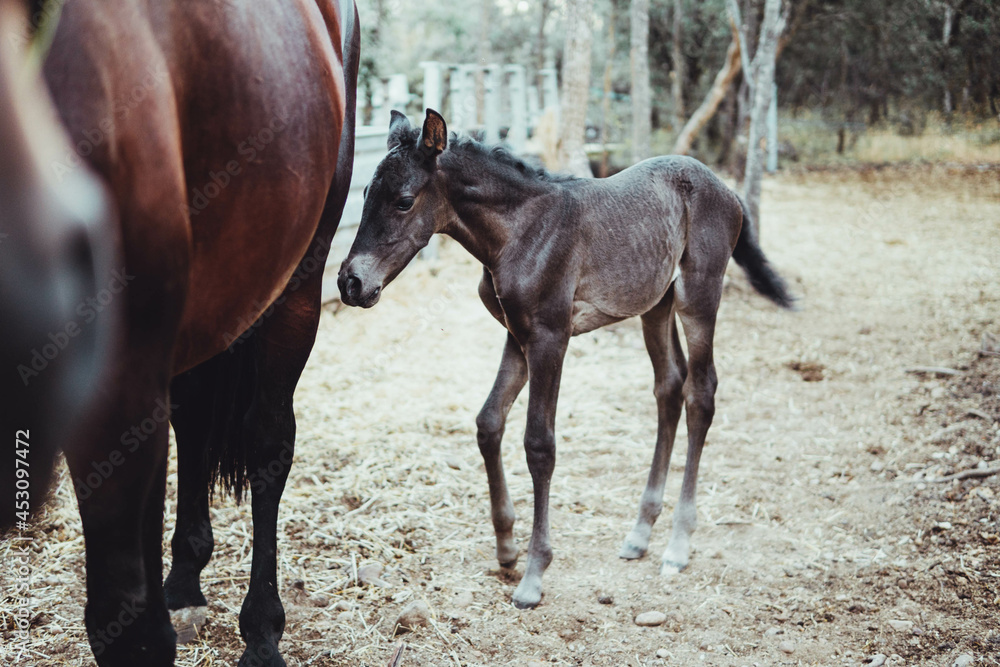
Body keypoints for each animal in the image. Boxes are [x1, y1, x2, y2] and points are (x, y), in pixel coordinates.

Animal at [37, 1, 362, 667]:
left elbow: (131, 629)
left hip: (297, 283)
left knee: (269, 441)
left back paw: (261, 630)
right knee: (193, 420)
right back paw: (185, 582)